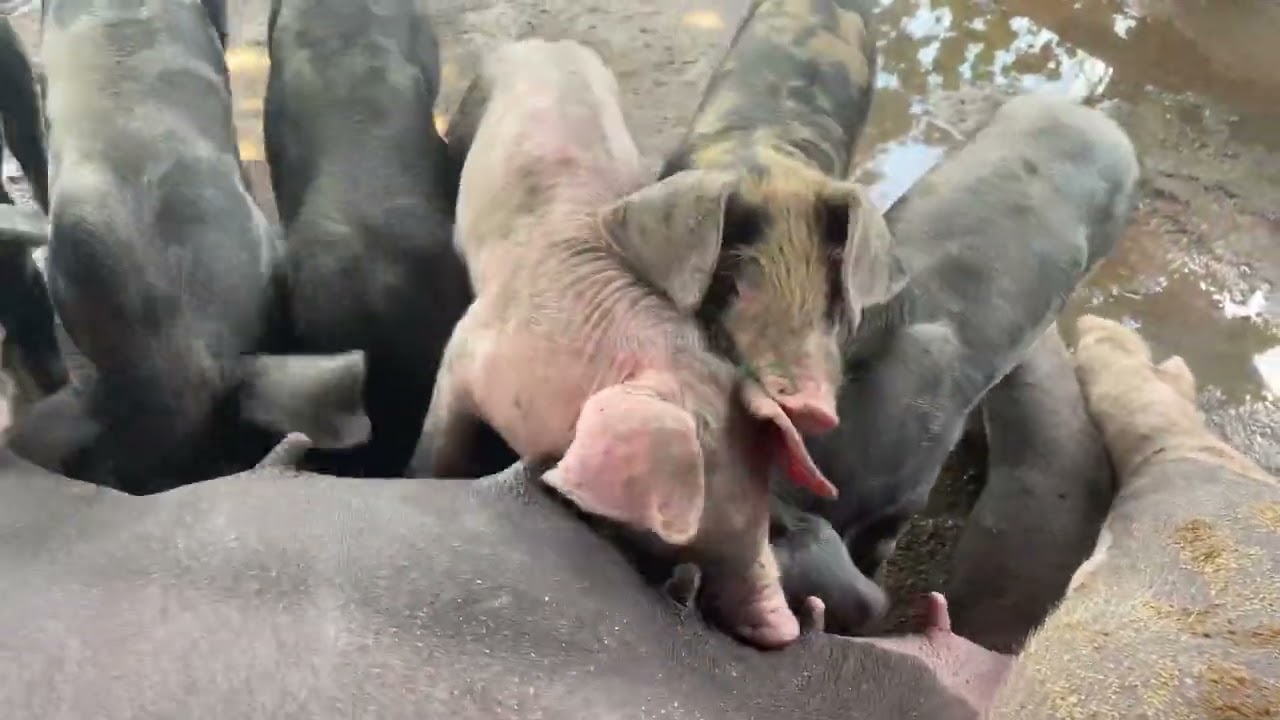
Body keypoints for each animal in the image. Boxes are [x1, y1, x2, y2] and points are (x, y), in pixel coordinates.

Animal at [416, 38, 843, 649]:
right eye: (673, 538)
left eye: (763, 507)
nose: (785, 626)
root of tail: (545, 43)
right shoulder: (464, 353)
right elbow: (440, 444)